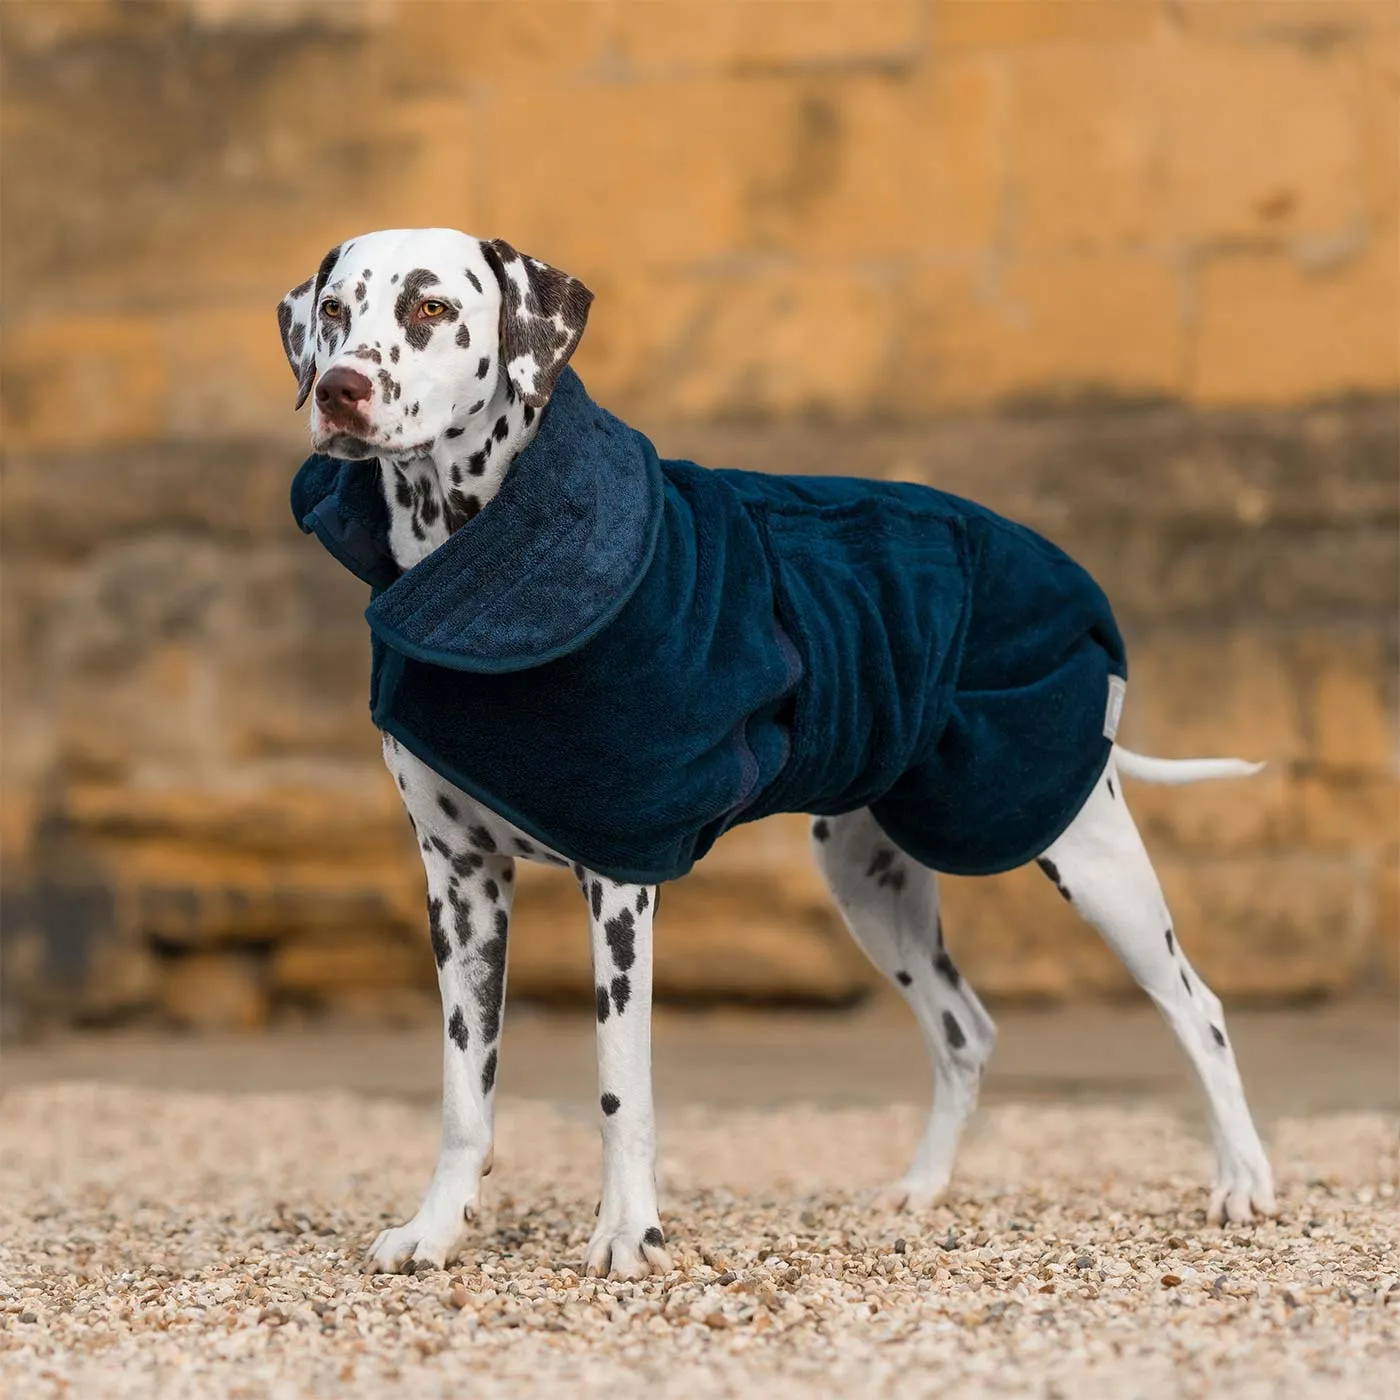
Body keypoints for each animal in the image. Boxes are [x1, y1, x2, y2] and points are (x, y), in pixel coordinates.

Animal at [275, 226, 1282, 1282]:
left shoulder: (620, 882)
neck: (469, 571)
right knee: (965, 1032)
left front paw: (629, 1234)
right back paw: (922, 1190)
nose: (340, 388)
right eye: (335, 311)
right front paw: (434, 1229)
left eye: (431, 308)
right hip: (871, 886)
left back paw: (1244, 1184)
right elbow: (464, 1090)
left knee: (1199, 1009)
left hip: (1083, 849)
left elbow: (620, 1087)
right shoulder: (461, 884)